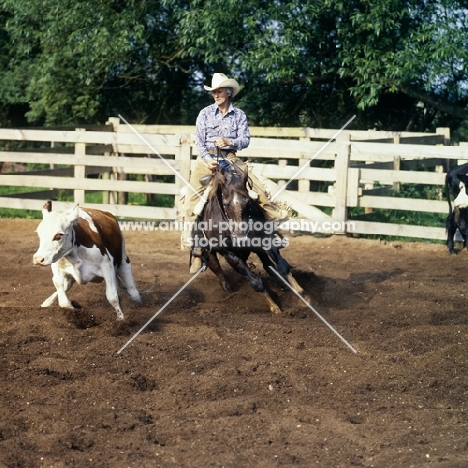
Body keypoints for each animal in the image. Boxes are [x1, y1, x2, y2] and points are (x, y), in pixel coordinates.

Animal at [191, 163, 308, 312]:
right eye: (226, 203)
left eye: (247, 201)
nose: (241, 237)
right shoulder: (229, 254)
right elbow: (255, 281)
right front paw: (275, 308)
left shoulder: (264, 239)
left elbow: (282, 266)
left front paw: (302, 295)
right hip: (209, 252)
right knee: (220, 274)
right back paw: (229, 293)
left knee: (268, 265)